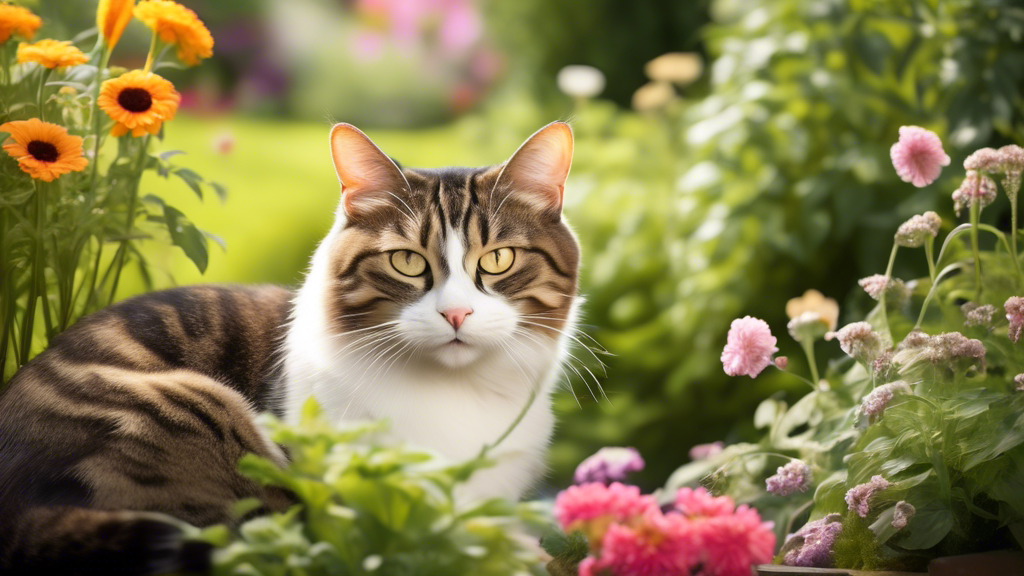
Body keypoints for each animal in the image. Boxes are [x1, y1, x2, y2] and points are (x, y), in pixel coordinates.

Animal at [0, 119, 581, 569]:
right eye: (407, 261)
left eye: (498, 259)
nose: (456, 313)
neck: (455, 392)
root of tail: (19, 516)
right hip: (189, 406)